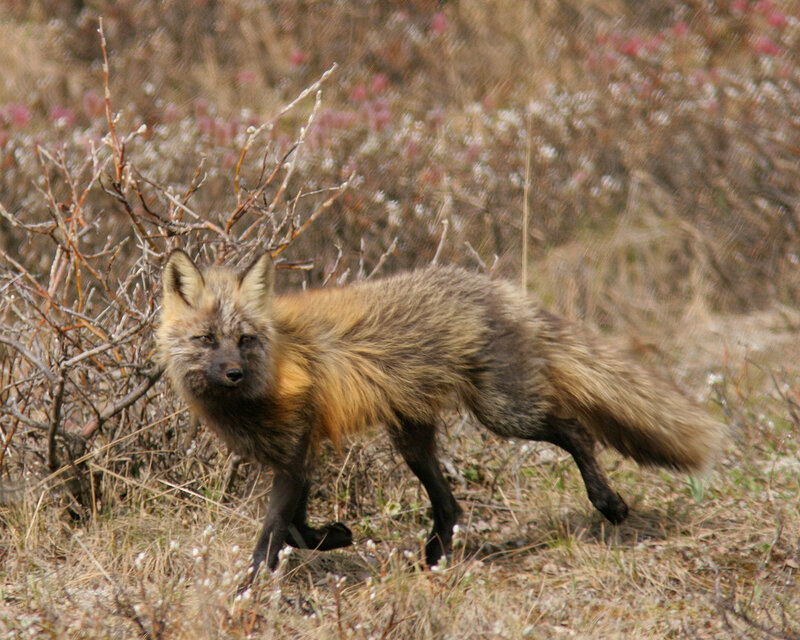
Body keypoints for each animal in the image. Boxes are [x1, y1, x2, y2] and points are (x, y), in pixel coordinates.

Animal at [156, 249, 724, 578]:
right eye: (206, 341)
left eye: (245, 340)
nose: (231, 373)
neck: (268, 374)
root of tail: (496, 288)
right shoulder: (297, 458)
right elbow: (296, 529)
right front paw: (336, 537)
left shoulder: (295, 457)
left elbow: (275, 532)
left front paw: (249, 591)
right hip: (413, 440)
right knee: (449, 506)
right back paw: (433, 559)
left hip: (505, 413)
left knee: (578, 432)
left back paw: (608, 502)